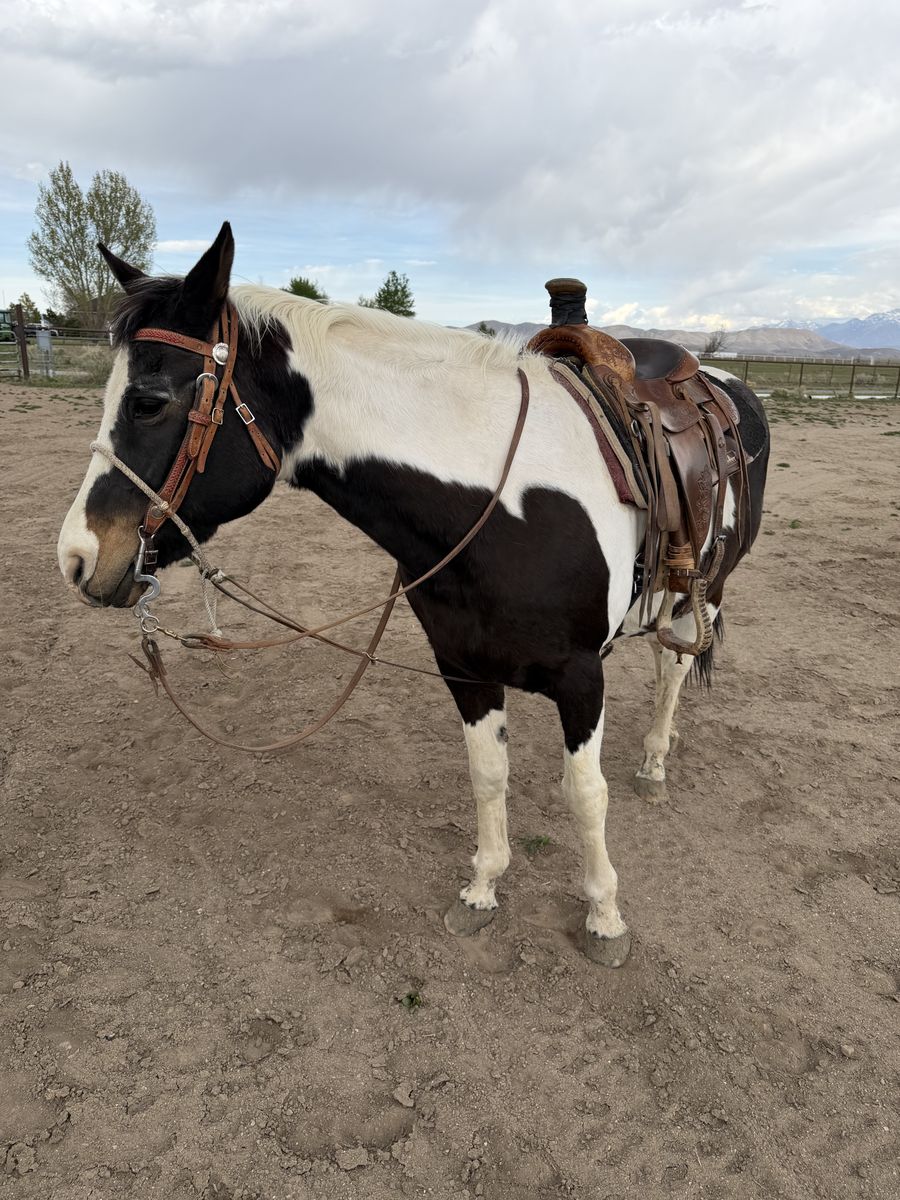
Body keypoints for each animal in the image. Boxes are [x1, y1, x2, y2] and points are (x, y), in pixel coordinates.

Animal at [57, 224, 769, 966]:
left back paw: (656, 759)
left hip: (706, 587)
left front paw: (604, 915)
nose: (77, 558)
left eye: (148, 401)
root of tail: (723, 384)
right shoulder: (464, 667)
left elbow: (585, 793)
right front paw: (483, 888)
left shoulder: (581, 677)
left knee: (676, 665)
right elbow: (488, 774)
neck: (502, 503)